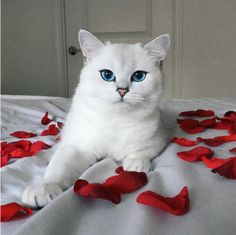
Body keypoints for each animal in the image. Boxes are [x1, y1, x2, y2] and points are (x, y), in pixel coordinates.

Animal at [21, 29, 170, 207]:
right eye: (107, 75)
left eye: (139, 76)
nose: (122, 90)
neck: (116, 119)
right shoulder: (77, 147)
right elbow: (59, 168)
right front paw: (45, 189)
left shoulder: (159, 138)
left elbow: (143, 151)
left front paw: (136, 164)